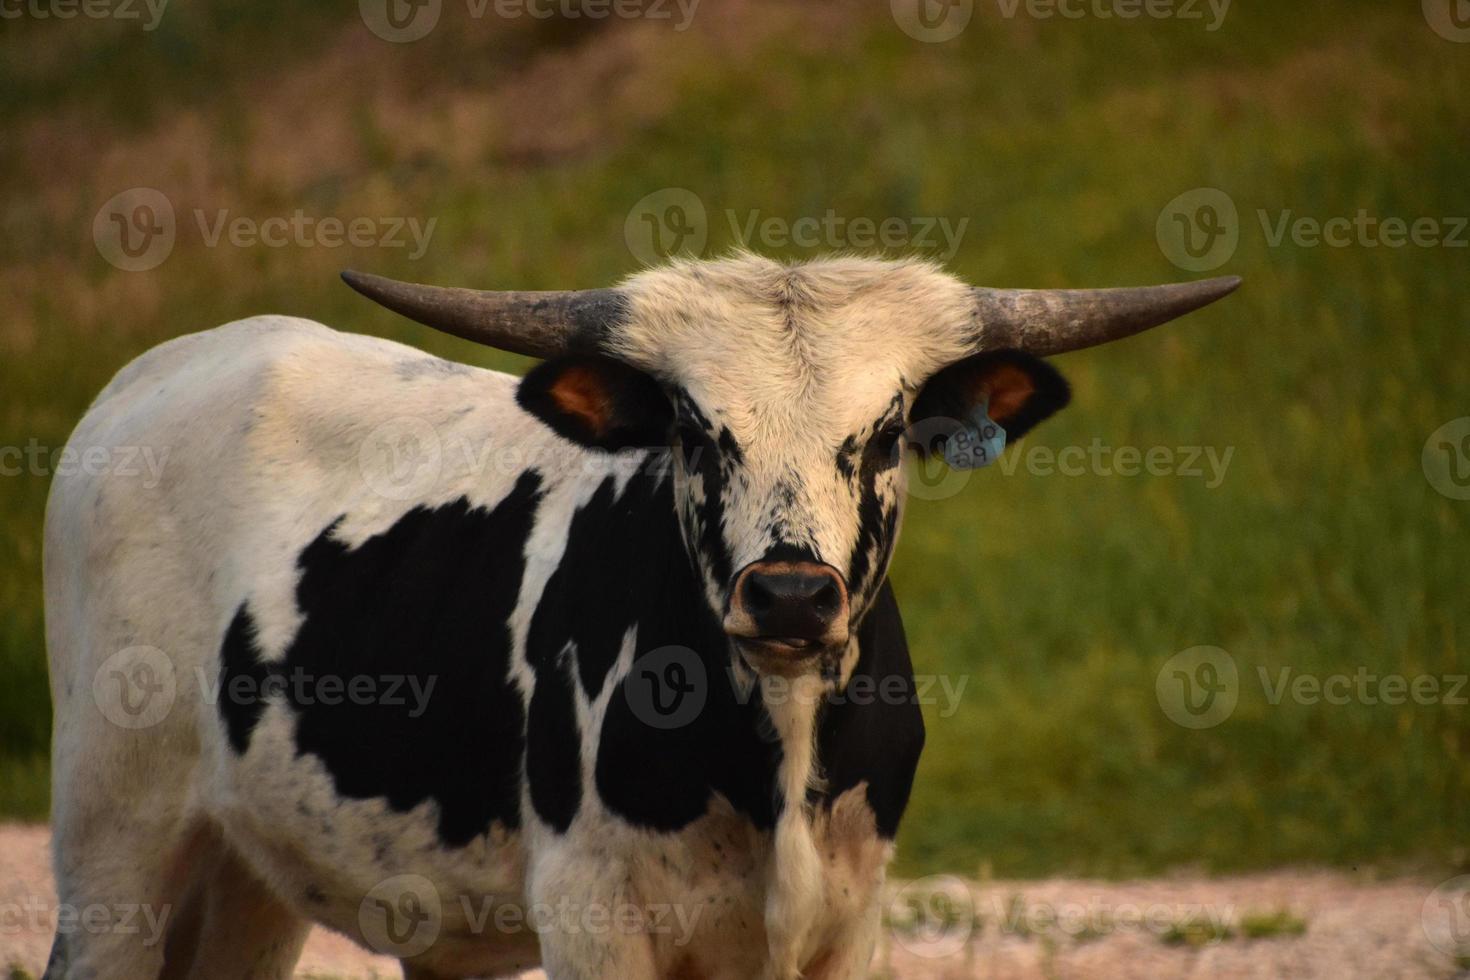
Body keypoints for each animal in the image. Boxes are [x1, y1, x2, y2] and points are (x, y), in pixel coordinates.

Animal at [45, 255, 1234, 980]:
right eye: (697, 430)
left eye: (889, 430)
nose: (790, 593)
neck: (776, 759)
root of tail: (157, 373)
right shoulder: (594, 922)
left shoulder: (848, 921)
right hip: (112, 837)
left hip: (247, 870)